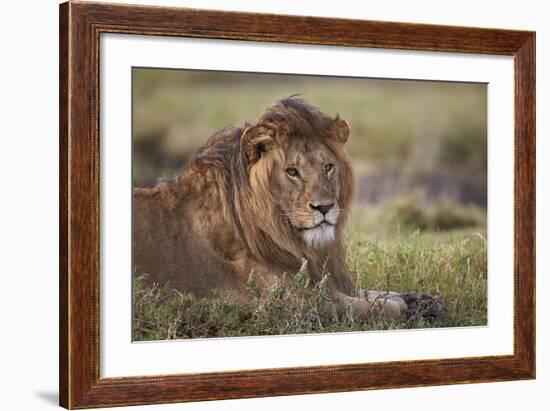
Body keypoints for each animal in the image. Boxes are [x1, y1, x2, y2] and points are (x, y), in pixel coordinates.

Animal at [134, 97, 444, 322]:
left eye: (328, 167)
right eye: (292, 171)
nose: (325, 207)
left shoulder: (327, 281)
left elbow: (380, 293)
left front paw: (426, 300)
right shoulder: (289, 302)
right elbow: (382, 306)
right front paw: (406, 307)